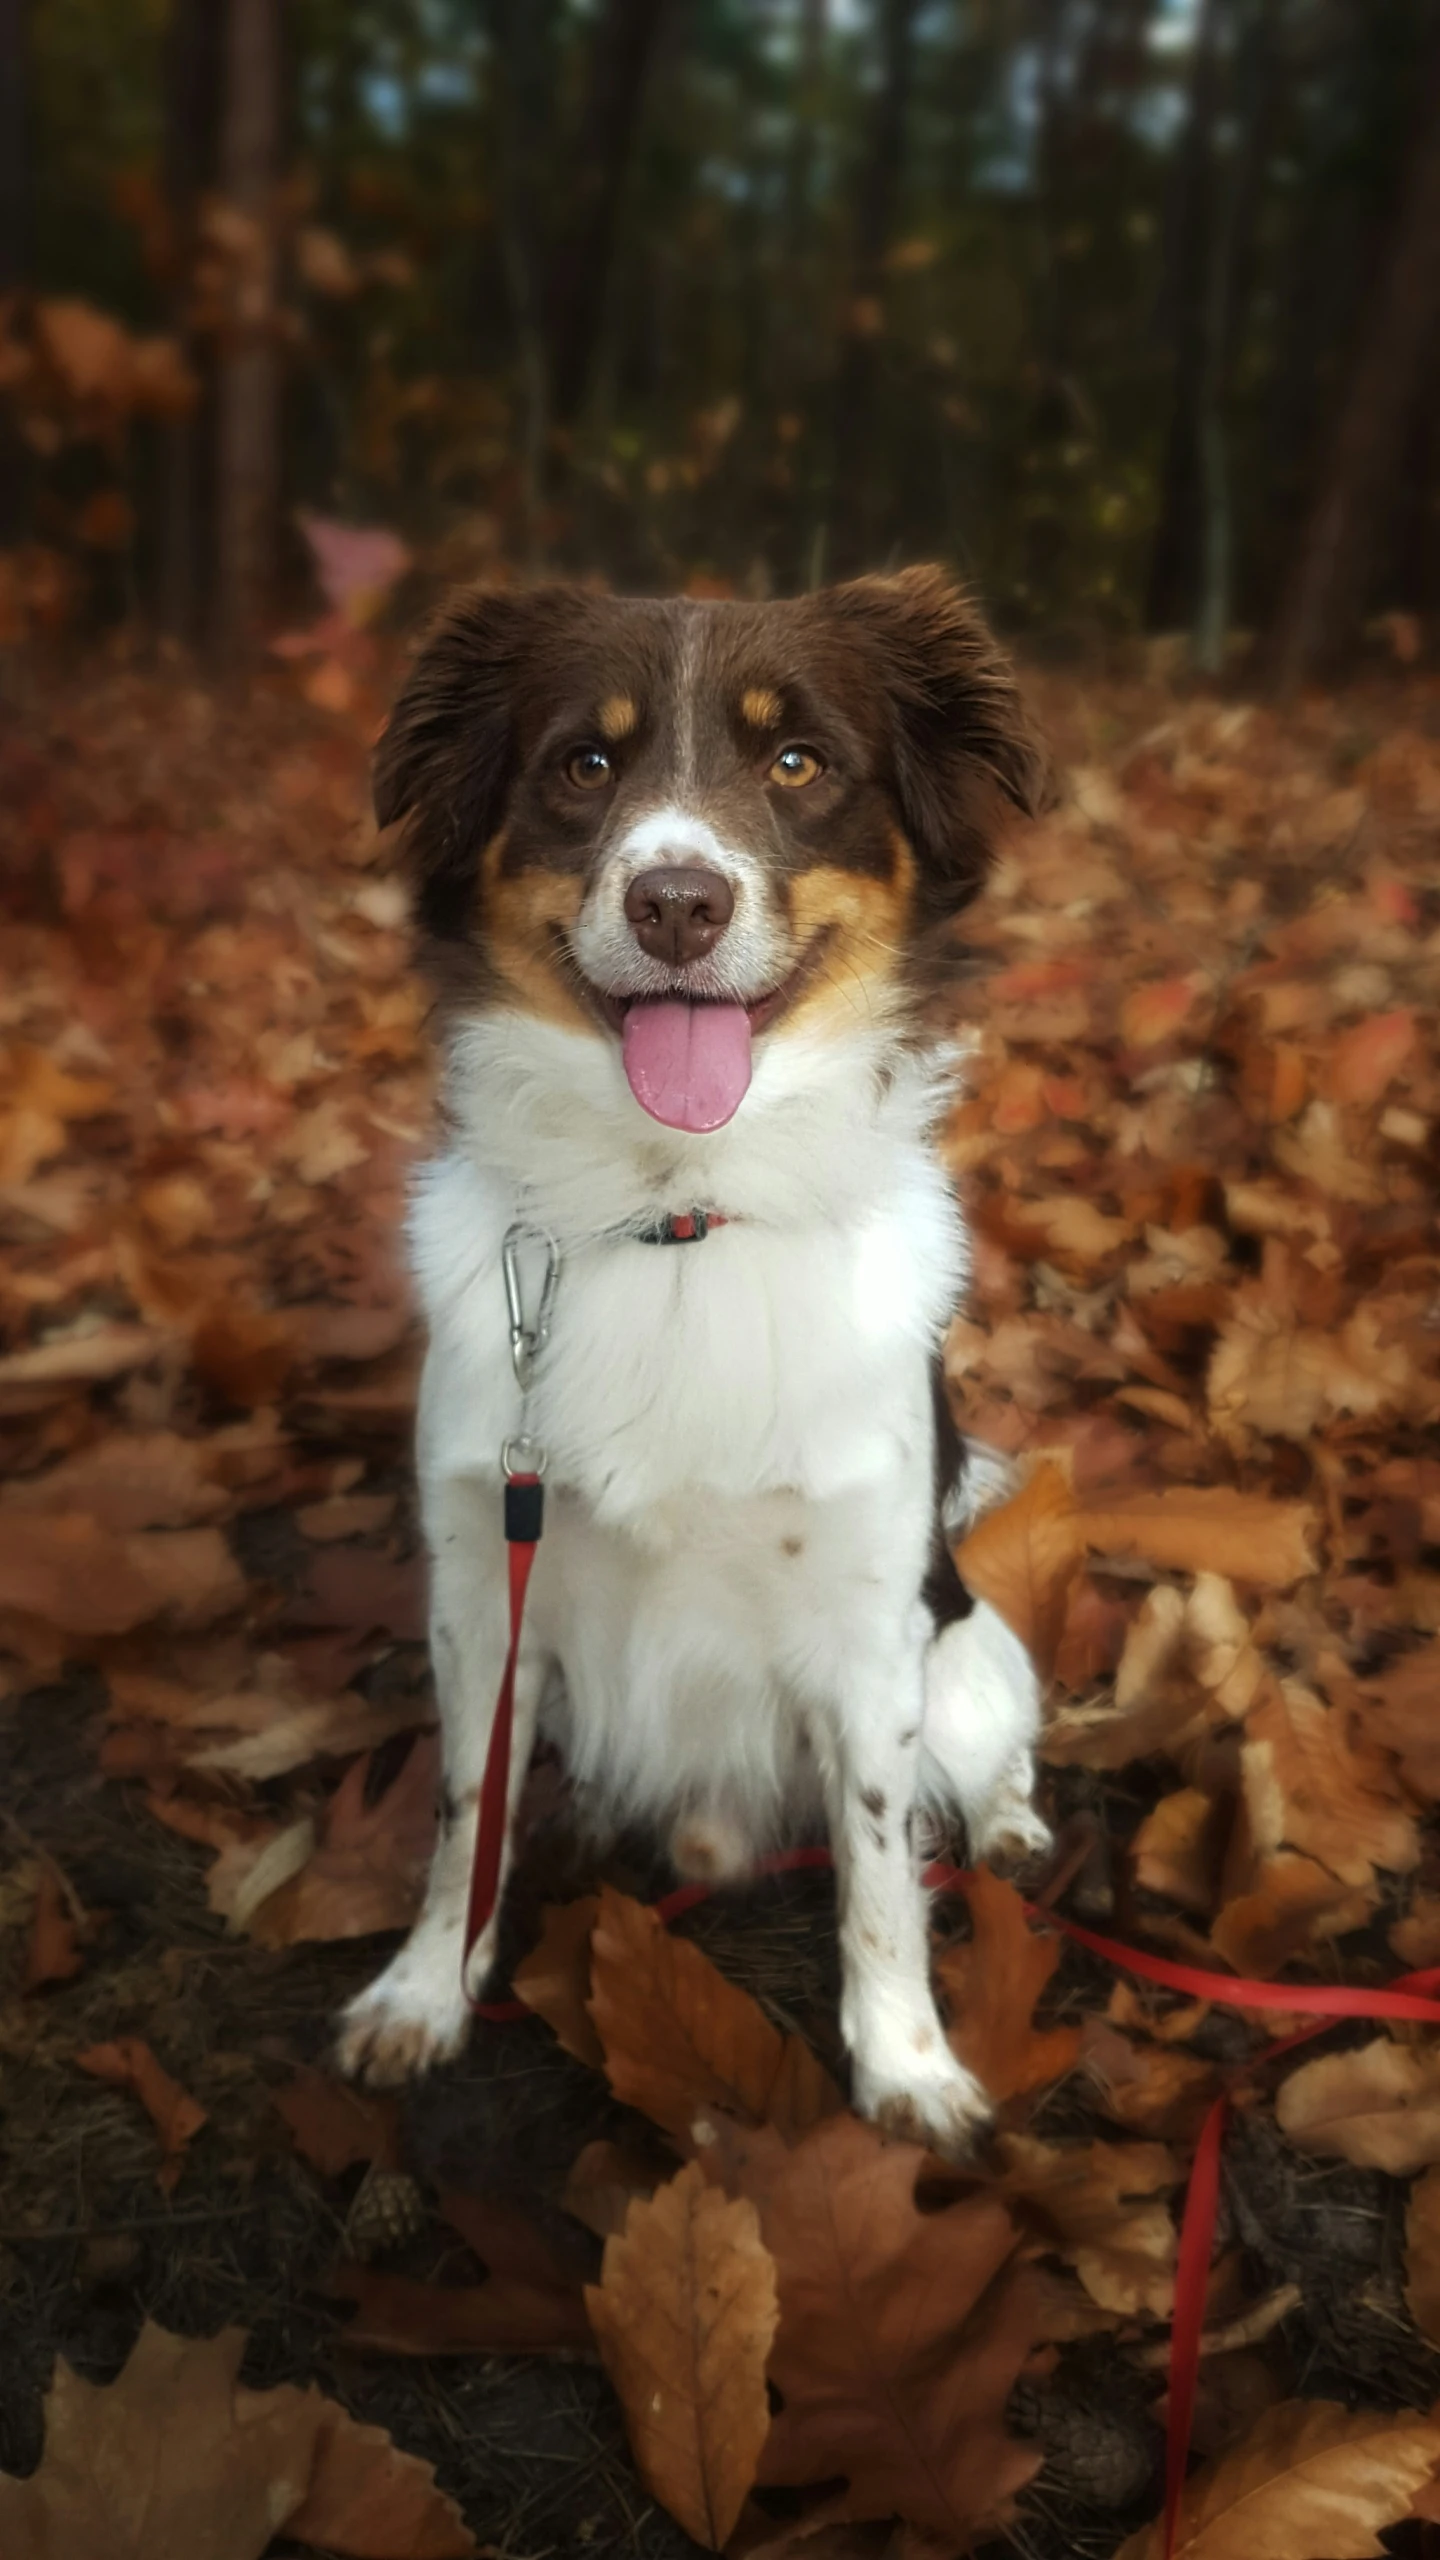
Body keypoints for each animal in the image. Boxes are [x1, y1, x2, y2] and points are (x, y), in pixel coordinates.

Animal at [338, 565, 1055, 2160]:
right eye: (583, 764)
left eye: (795, 762)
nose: (676, 901)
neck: (679, 1210)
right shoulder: (483, 1589)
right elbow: (462, 1821)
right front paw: (427, 1988)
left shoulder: (868, 1631)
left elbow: (878, 1870)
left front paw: (905, 2063)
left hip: (968, 1654)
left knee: (987, 1760)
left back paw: (1008, 1824)